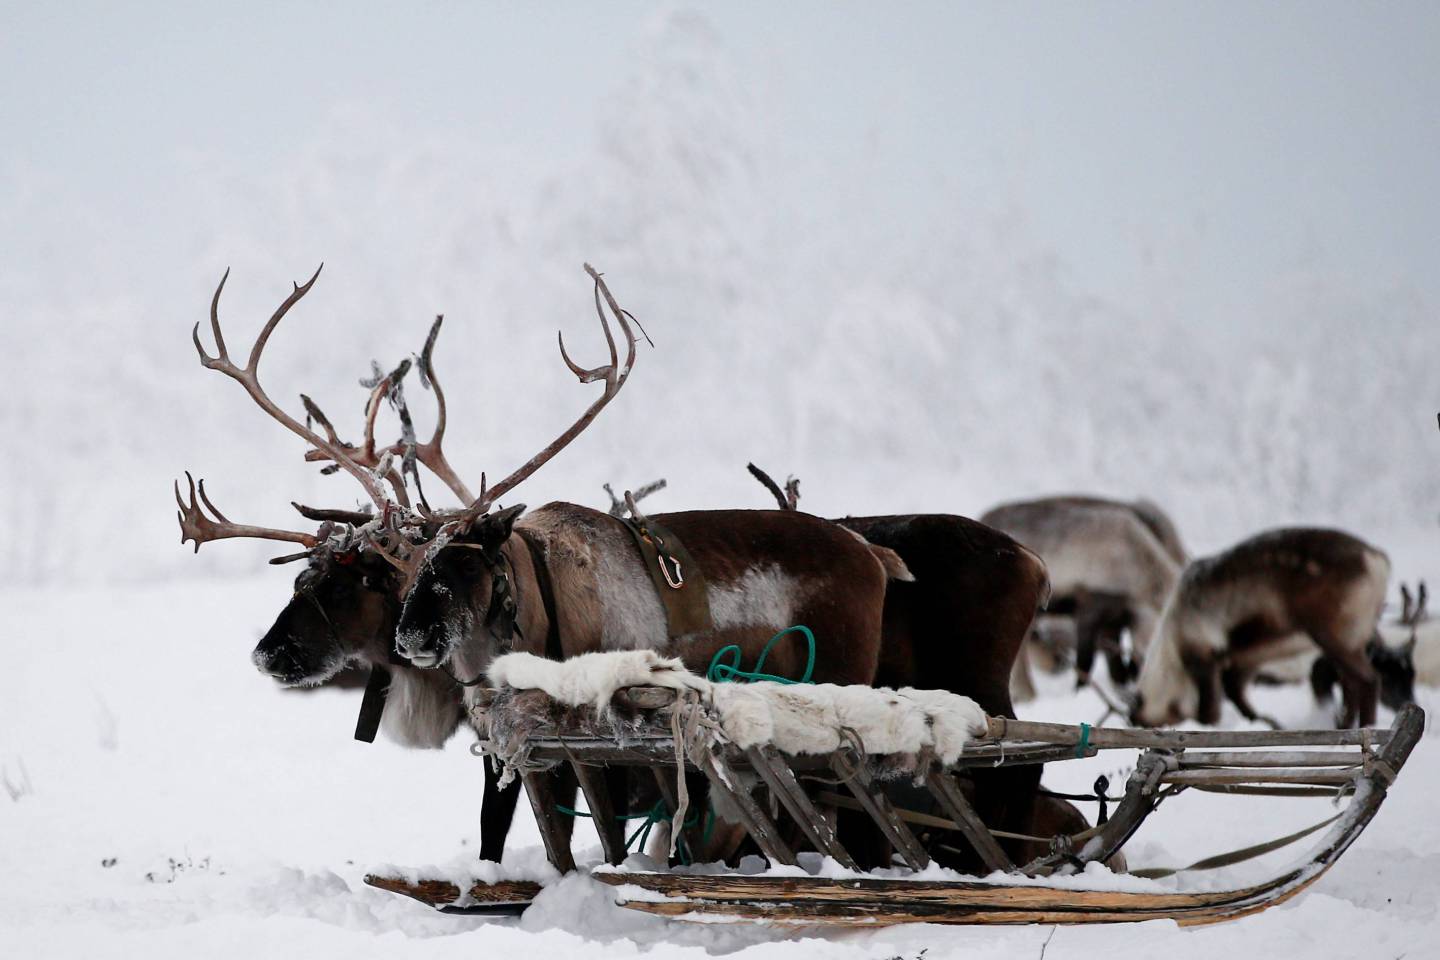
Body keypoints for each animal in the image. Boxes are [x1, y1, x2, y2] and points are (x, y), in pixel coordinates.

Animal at [1132, 527, 1391, 729]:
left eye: (1141, 721)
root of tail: (1377, 560)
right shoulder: (1244, 661)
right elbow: (1236, 695)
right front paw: (1268, 722)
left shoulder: (1203, 657)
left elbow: (1210, 710)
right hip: (1353, 639)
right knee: (1351, 683)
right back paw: (1343, 726)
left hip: (1332, 636)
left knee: (1368, 680)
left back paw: (1365, 727)